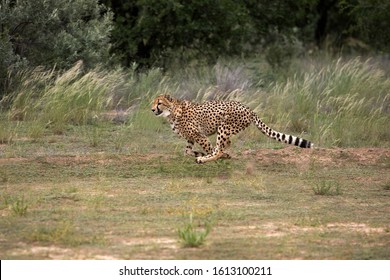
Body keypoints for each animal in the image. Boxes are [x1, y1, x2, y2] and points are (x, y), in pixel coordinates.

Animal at [151, 94, 312, 164]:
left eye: (159, 103)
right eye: (153, 102)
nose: (152, 109)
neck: (172, 112)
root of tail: (249, 109)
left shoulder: (199, 135)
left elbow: (210, 148)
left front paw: (207, 155)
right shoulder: (191, 137)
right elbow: (186, 151)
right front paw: (198, 153)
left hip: (224, 127)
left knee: (220, 147)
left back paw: (205, 159)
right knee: (225, 144)